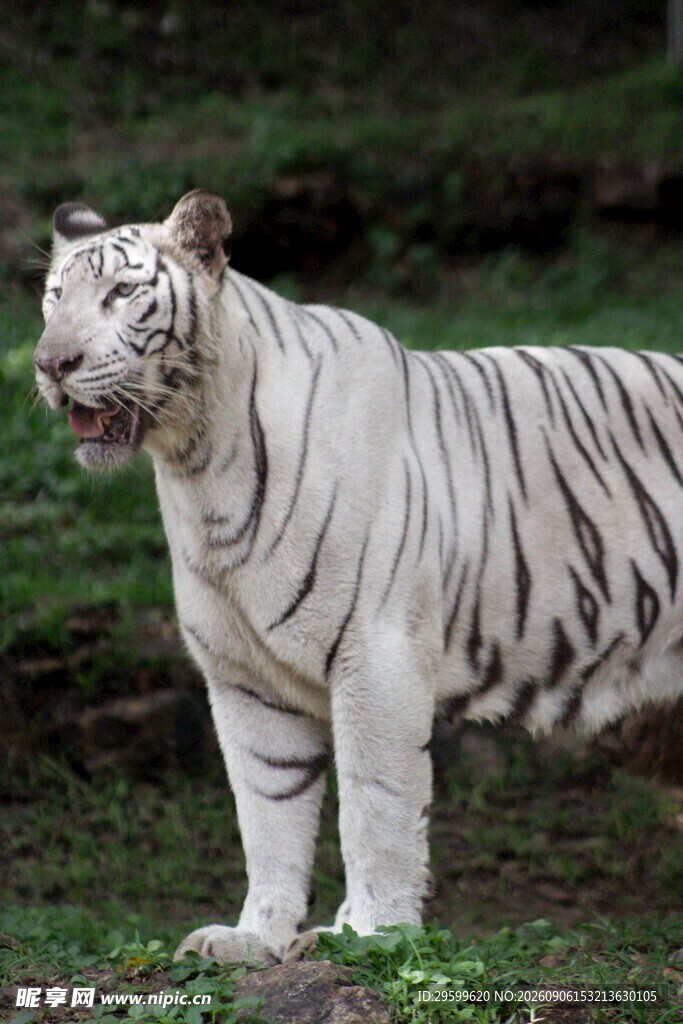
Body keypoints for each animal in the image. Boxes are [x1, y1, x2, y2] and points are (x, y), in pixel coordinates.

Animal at [34, 189, 683, 965]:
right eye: (53, 297)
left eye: (122, 293)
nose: (49, 362)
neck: (199, 466)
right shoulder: (243, 675)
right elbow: (267, 811)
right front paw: (253, 935)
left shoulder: (378, 652)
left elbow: (377, 804)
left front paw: (368, 934)